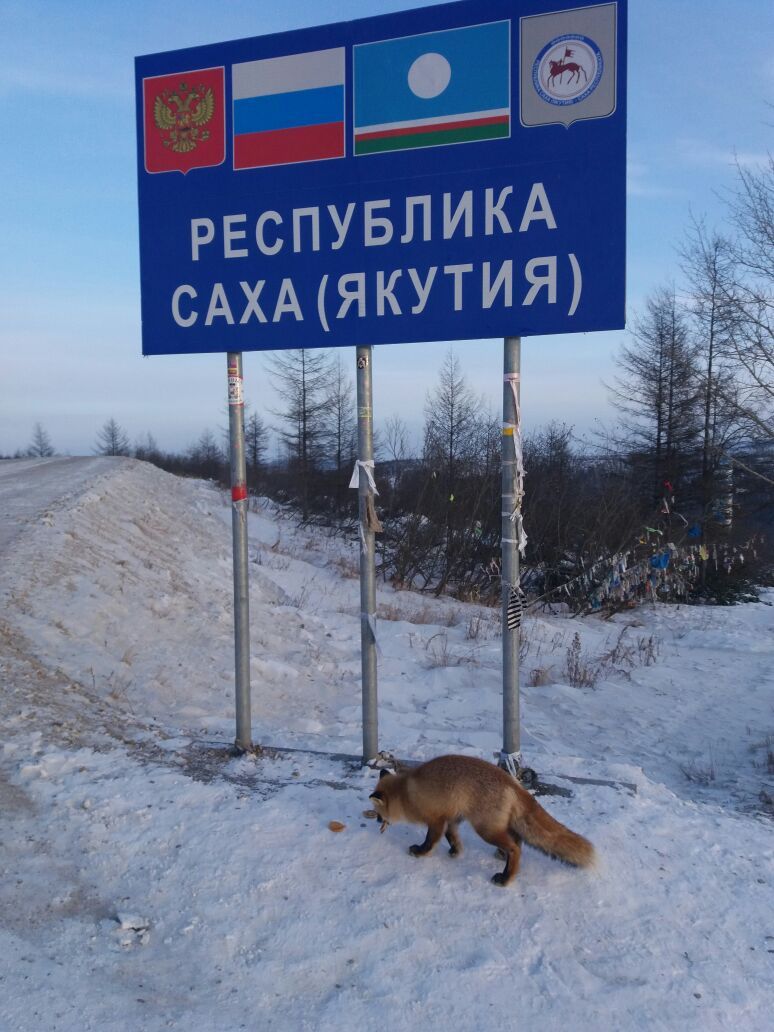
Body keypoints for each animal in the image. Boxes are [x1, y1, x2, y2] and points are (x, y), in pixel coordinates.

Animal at [367, 751, 594, 887]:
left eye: (378, 812)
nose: (376, 821)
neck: (406, 793)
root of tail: (512, 782)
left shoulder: (436, 818)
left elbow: (431, 840)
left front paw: (421, 852)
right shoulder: (453, 817)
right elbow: (452, 836)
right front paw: (456, 851)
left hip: (485, 830)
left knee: (516, 847)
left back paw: (506, 877)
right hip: (495, 826)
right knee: (517, 840)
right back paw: (503, 857)